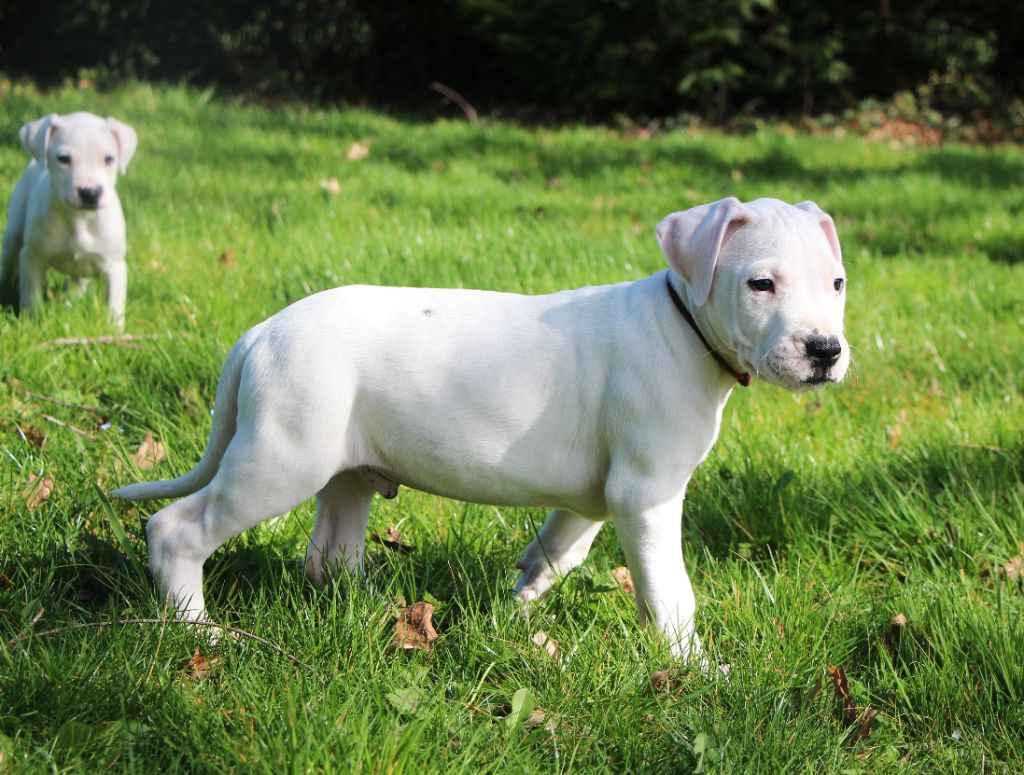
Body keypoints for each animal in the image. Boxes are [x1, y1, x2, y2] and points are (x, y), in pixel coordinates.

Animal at [1, 111, 138, 329]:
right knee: (9, 266)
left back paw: (70, 299)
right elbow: (32, 297)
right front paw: (33, 323)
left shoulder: (115, 266)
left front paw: (115, 331)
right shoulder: (32, 258)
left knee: (78, 282)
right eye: (63, 159)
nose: (90, 193)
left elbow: (115, 305)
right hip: (13, 236)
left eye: (109, 159)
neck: (79, 219)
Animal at [114, 197, 849, 660]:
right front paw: (693, 666)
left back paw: (379, 613)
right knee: (177, 529)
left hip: (344, 470)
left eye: (838, 283)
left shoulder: (600, 496)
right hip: (280, 460)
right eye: (761, 285)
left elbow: (560, 551)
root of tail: (260, 333)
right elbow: (672, 592)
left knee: (330, 554)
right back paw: (199, 630)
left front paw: (518, 607)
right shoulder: (647, 493)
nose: (825, 350)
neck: (683, 322)